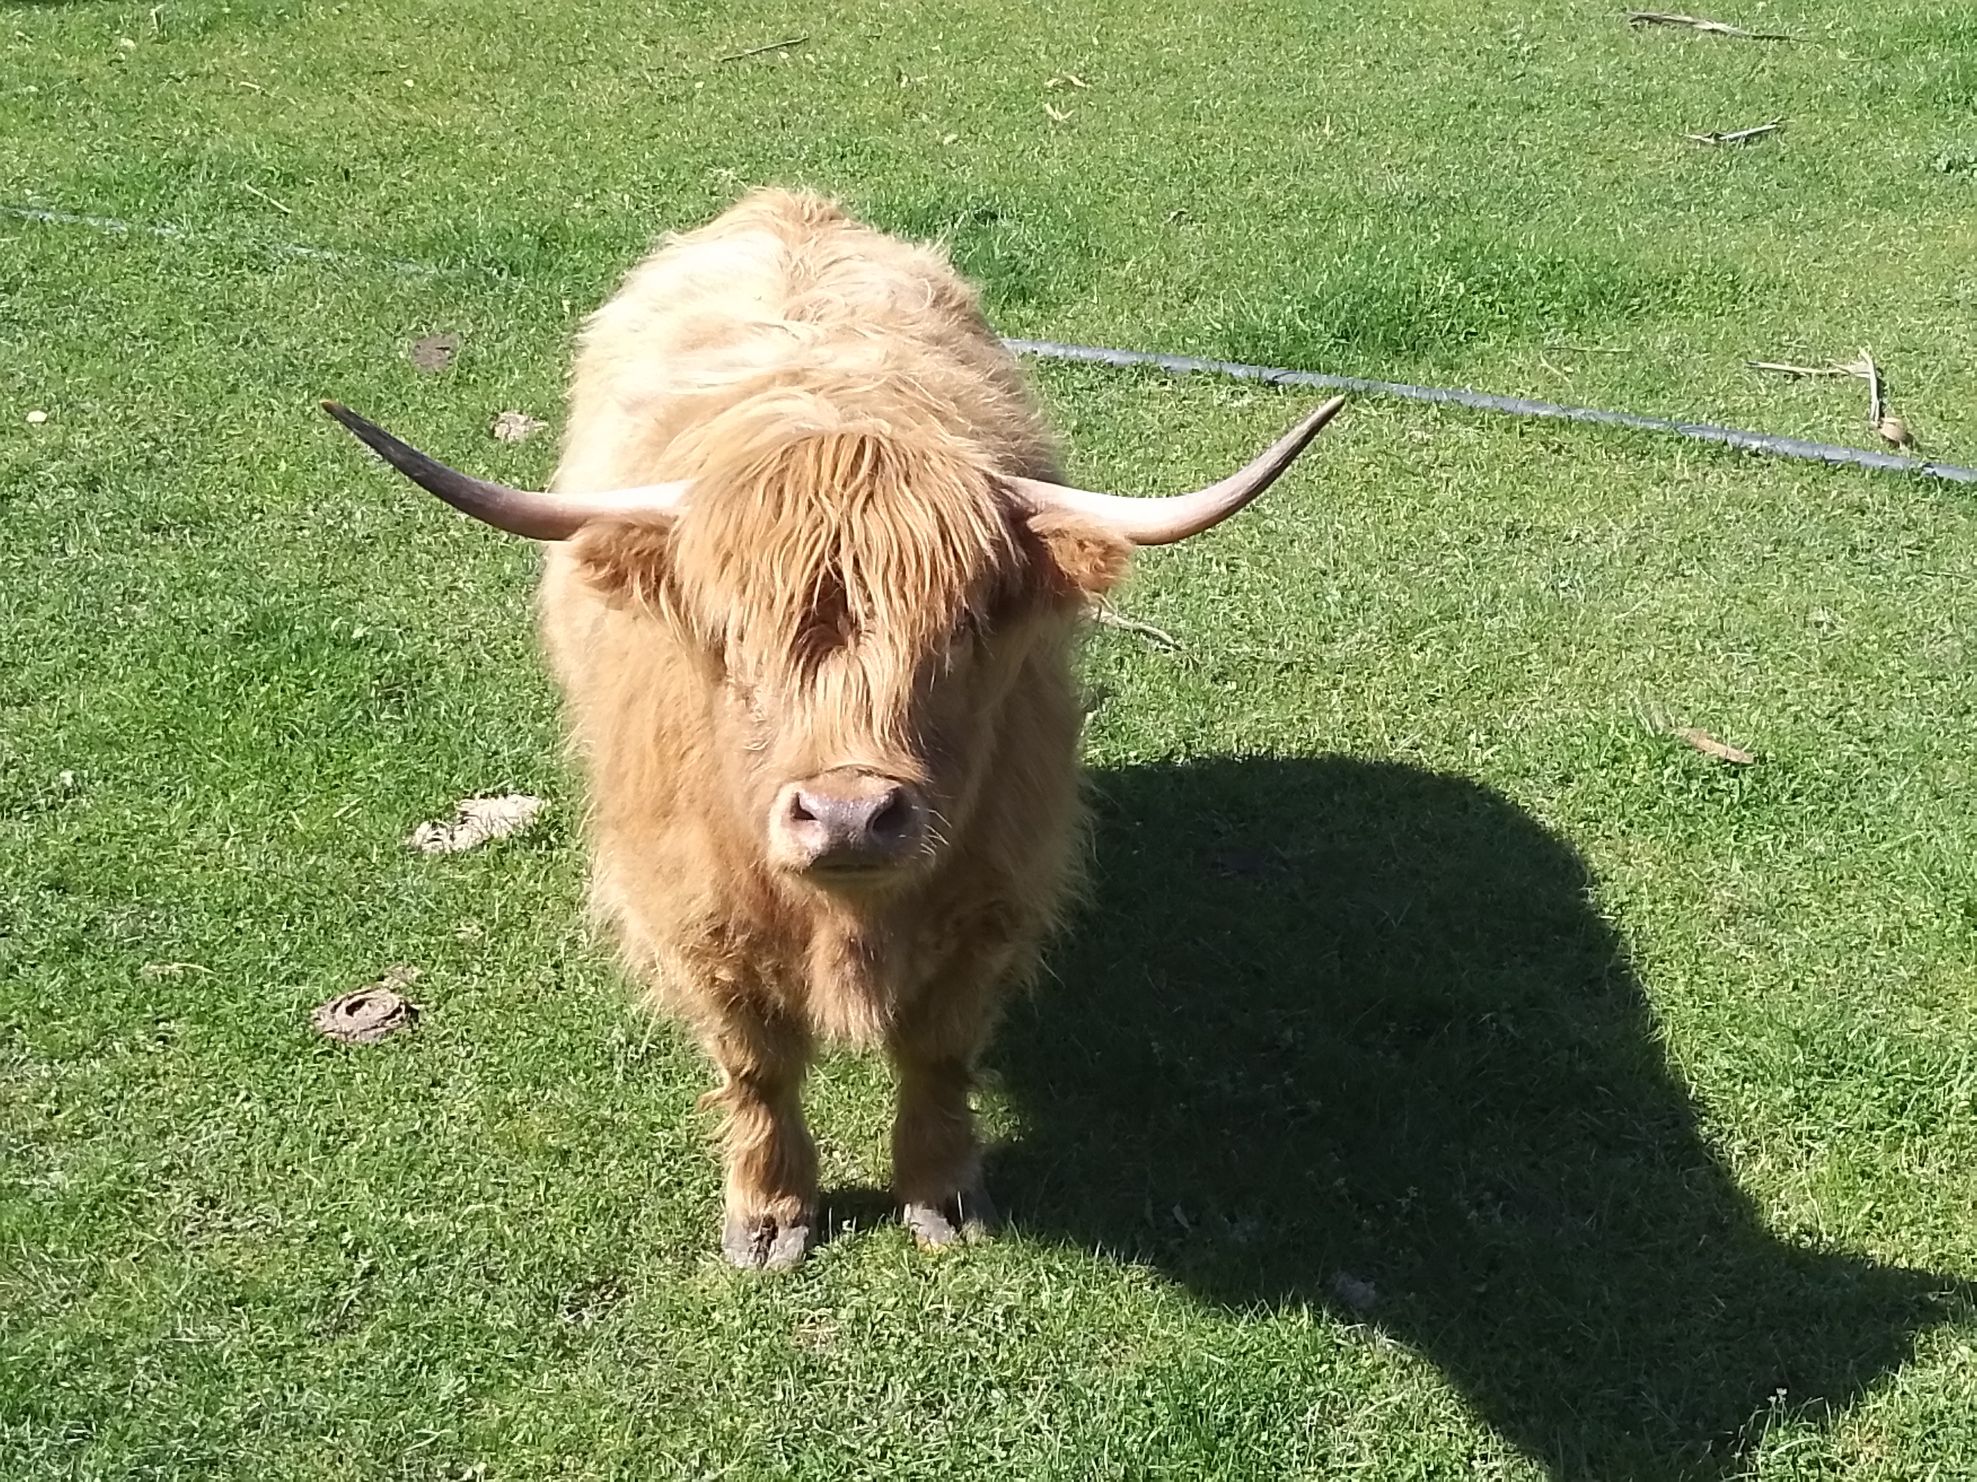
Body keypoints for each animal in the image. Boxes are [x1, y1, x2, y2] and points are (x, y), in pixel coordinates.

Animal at [323, 189, 1344, 1269]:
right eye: (730, 633)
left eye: (965, 625)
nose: (850, 816)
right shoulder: (693, 912)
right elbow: (755, 1065)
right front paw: (769, 1215)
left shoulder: (994, 891)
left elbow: (937, 1053)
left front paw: (943, 1196)